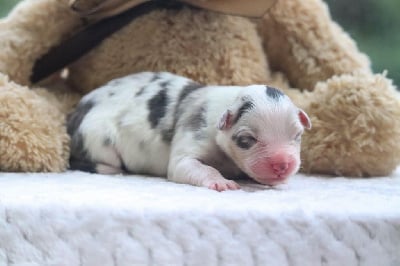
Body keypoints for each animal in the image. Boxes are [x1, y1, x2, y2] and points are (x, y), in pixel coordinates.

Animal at [67, 71, 310, 190]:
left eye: (297, 136)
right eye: (247, 139)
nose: (283, 164)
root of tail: (74, 115)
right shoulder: (189, 143)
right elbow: (194, 167)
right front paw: (220, 181)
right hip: (99, 139)